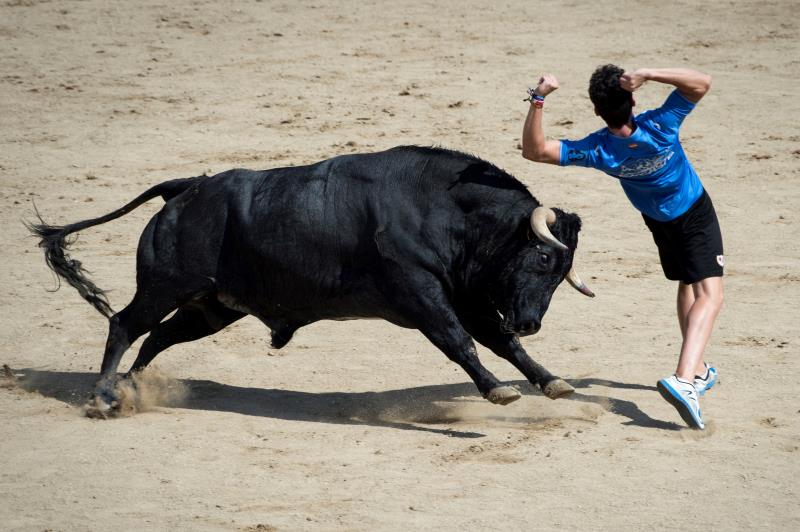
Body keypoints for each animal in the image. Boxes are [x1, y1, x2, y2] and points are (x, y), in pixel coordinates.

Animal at [31, 145, 592, 416]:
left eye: (563, 273)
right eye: (543, 257)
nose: (532, 322)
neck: (442, 209)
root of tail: (186, 188)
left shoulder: (466, 298)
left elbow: (500, 342)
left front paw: (551, 381)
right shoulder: (422, 297)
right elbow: (462, 343)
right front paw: (499, 392)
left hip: (212, 307)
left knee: (158, 336)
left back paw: (135, 389)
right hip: (164, 286)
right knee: (126, 326)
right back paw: (105, 397)